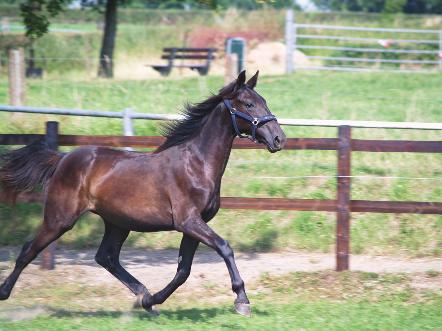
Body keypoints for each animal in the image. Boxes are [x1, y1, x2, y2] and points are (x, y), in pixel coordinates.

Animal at [0, 71, 286, 318]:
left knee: (106, 257)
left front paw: (152, 300)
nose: (279, 139)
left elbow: (183, 271)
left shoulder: (193, 226)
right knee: (28, 250)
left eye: (264, 101)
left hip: (117, 223)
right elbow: (225, 248)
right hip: (60, 219)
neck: (196, 164)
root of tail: (62, 159)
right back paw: (4, 293)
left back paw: (144, 297)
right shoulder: (189, 222)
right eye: (248, 104)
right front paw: (242, 301)